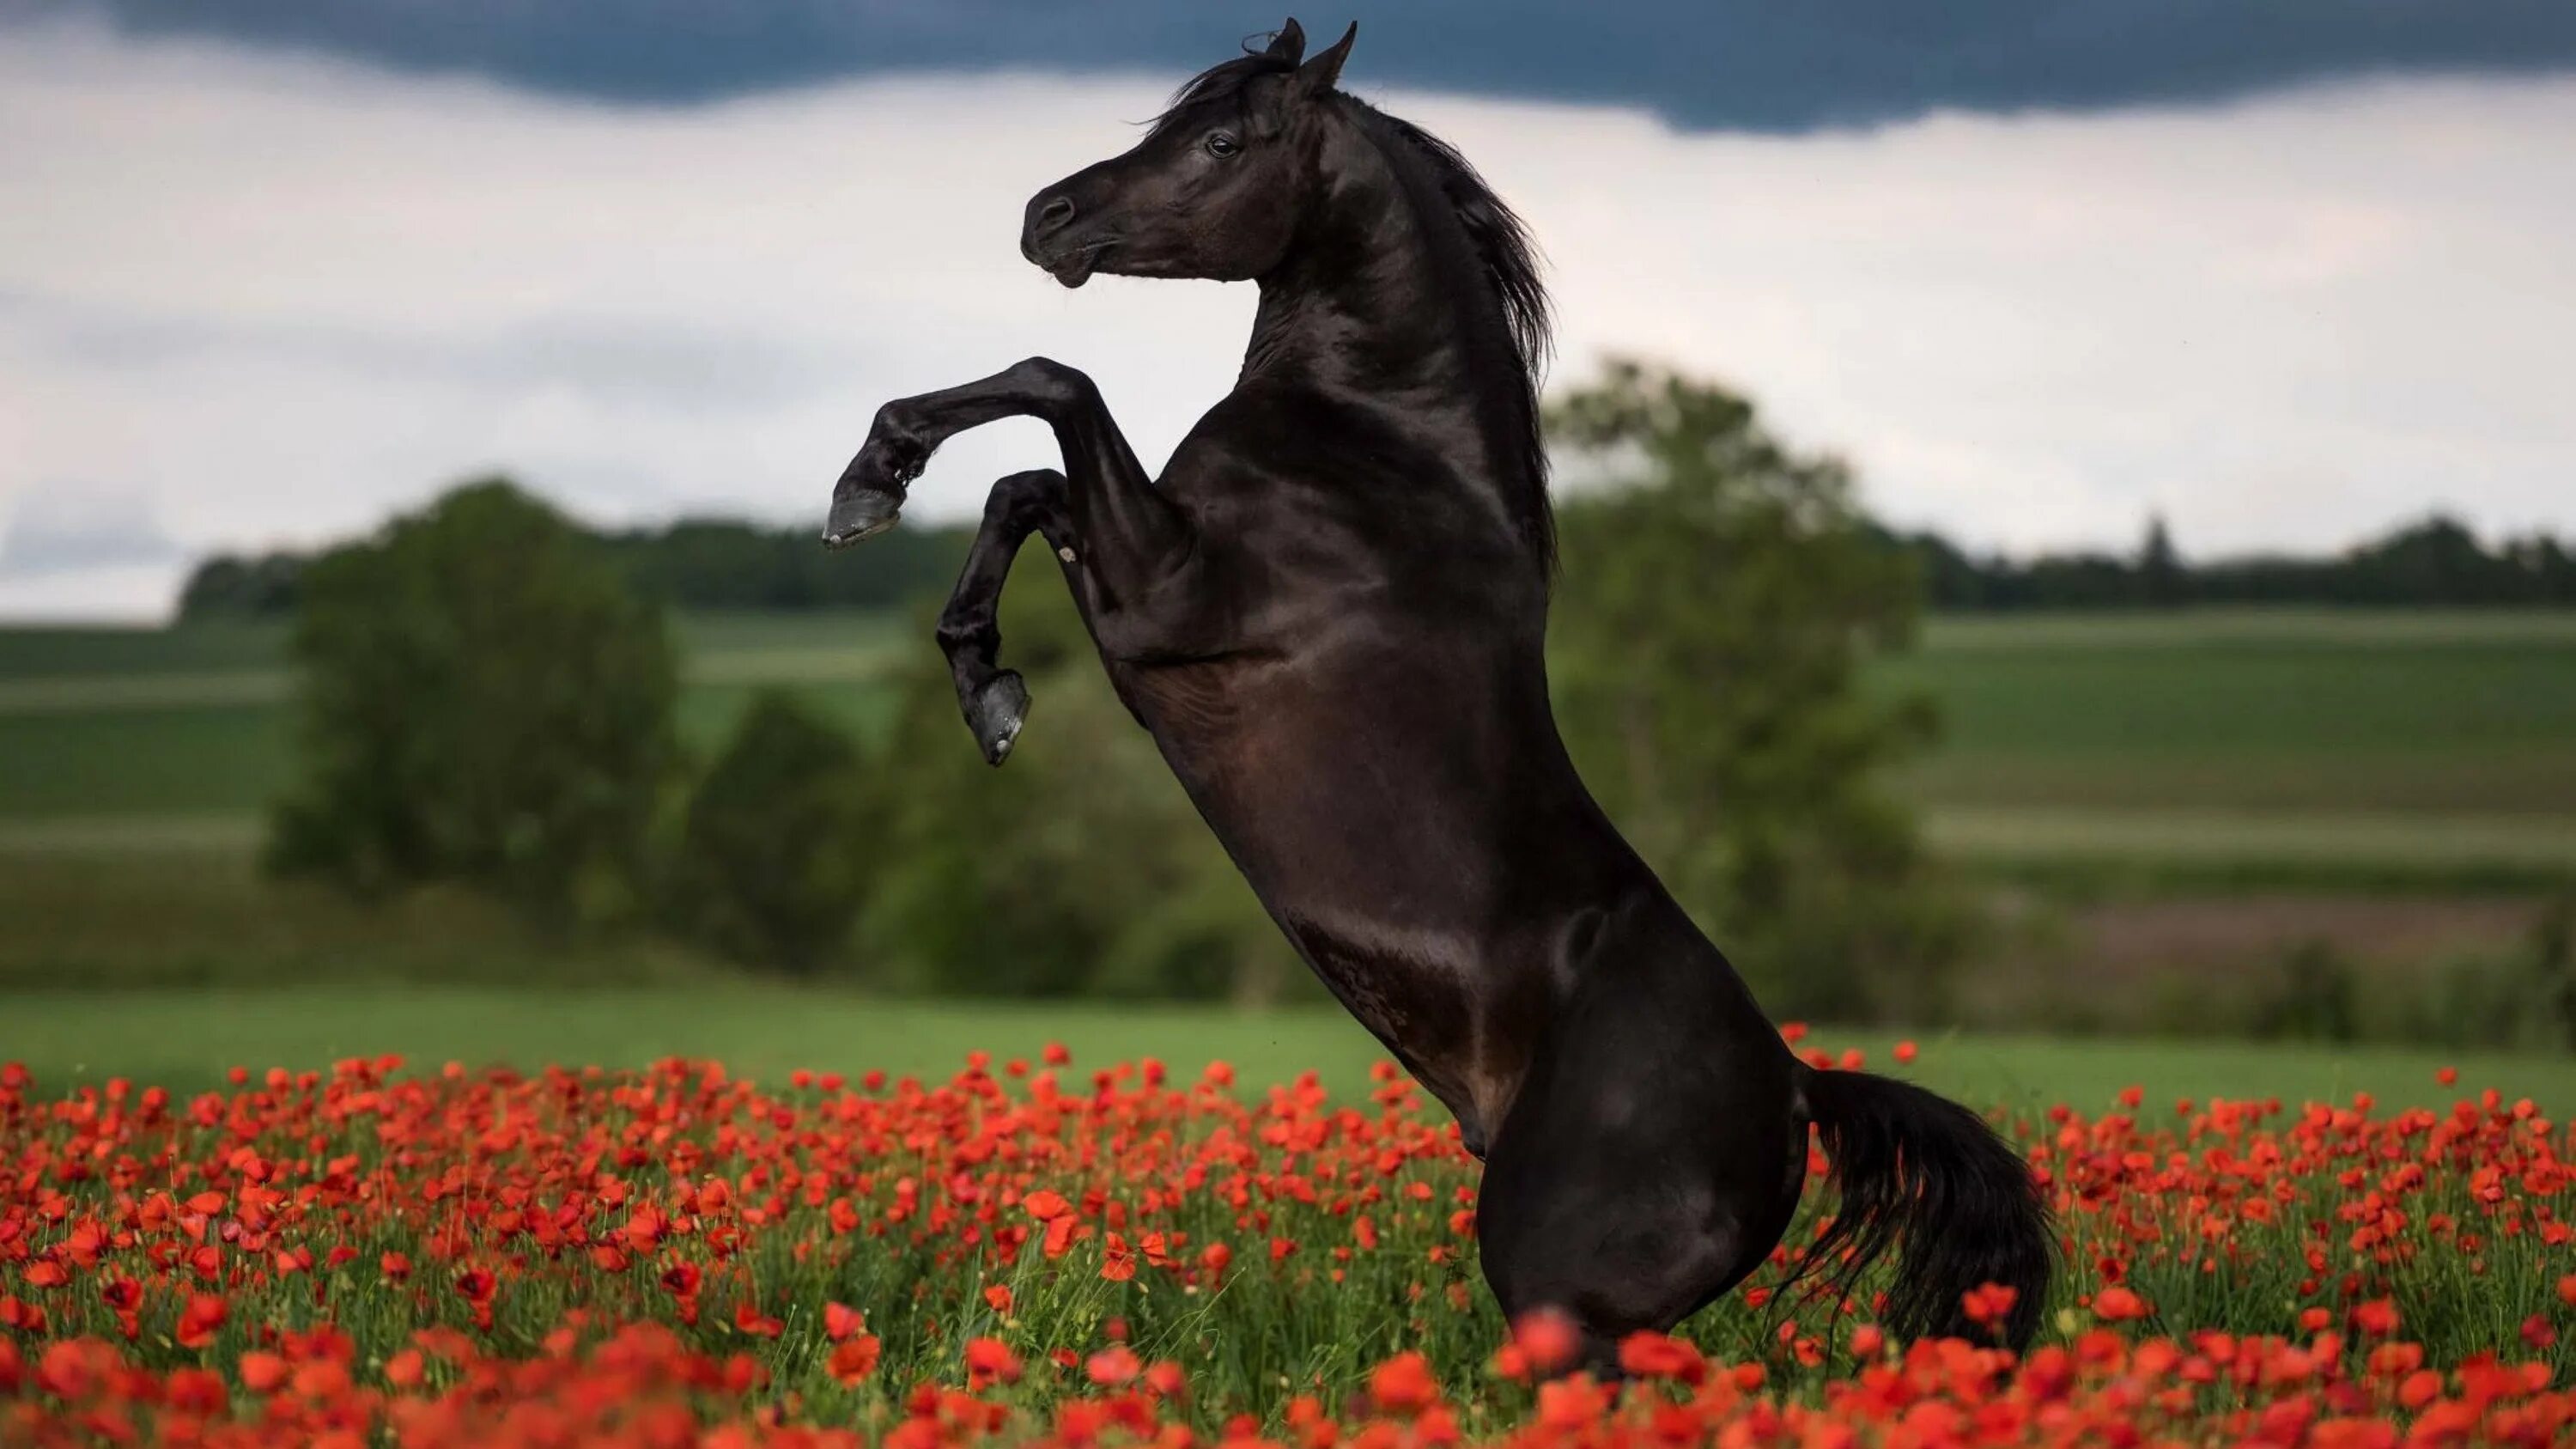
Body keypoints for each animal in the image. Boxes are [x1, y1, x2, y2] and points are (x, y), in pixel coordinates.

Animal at [814, 16, 2040, 1361]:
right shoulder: (1131, 563)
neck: (1381, 445)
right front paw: (981, 675)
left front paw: (874, 478)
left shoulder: (1164, 598)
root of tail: (1800, 1092)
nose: (1049, 215)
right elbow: (1023, 486)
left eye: (1222, 140)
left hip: (1555, 1289)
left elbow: (1054, 386)